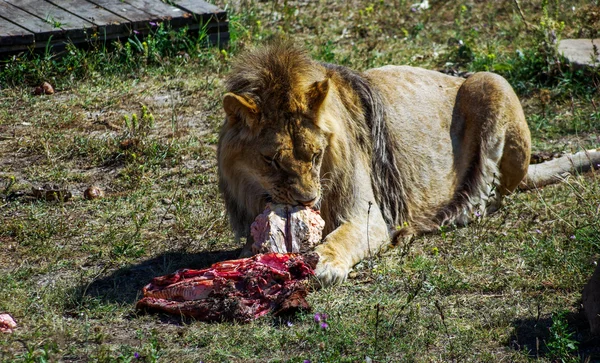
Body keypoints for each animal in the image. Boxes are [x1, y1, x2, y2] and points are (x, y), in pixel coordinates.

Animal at [218, 41, 600, 286]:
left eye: (315, 154)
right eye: (270, 159)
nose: (308, 200)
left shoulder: (371, 217)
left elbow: (342, 237)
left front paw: (324, 262)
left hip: (491, 81)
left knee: (492, 189)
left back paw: (456, 210)